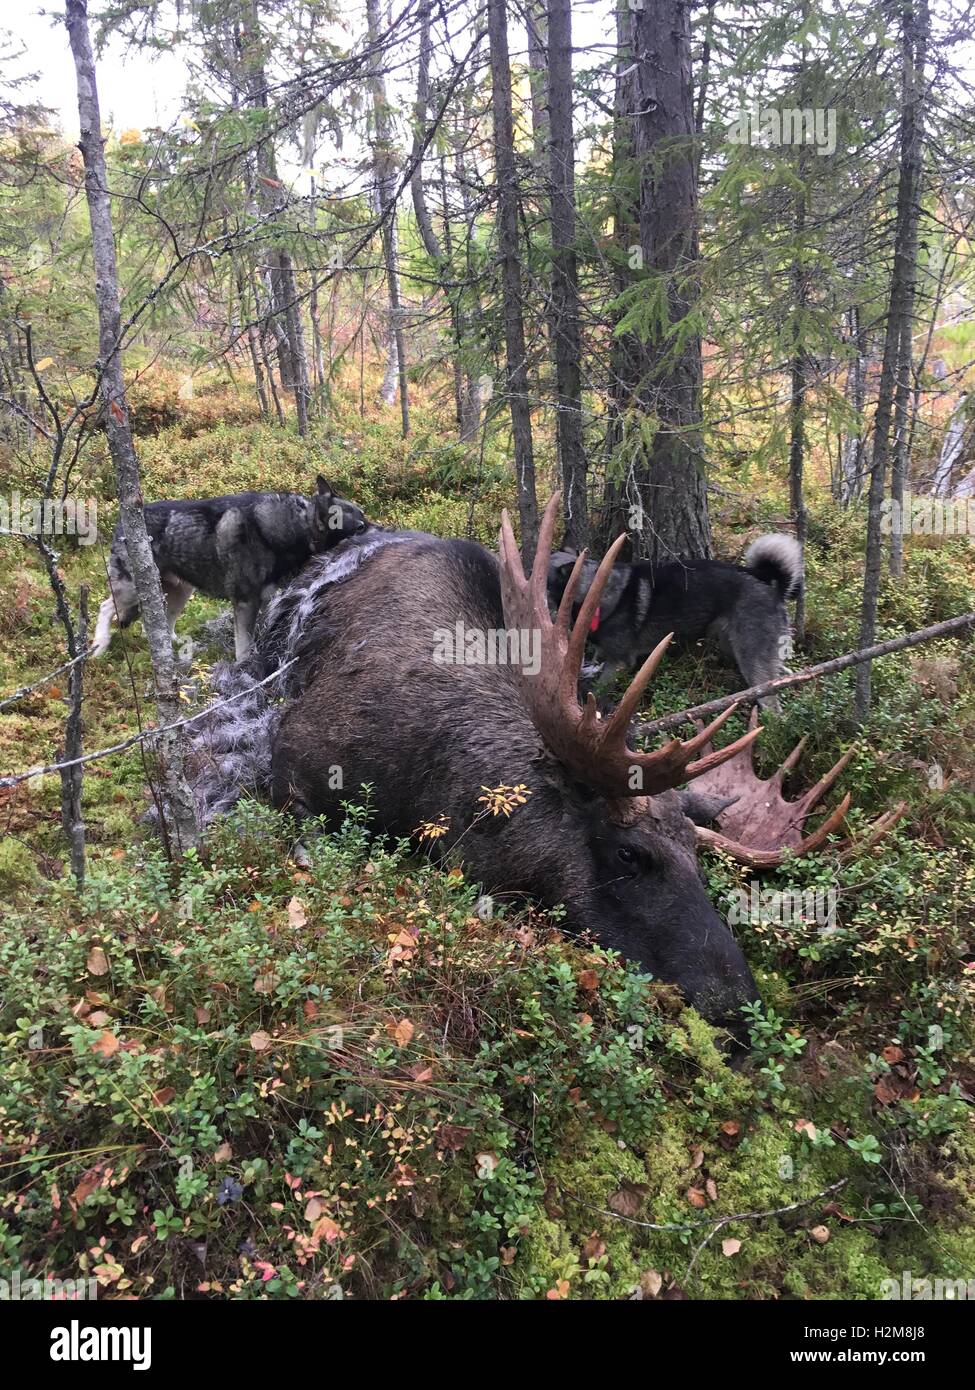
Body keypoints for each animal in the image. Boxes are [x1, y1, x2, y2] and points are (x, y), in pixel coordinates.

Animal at [93, 478, 372, 661]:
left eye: (364, 515)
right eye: (359, 526)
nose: (382, 530)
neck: (297, 527)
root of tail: (121, 523)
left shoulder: (260, 602)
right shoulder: (245, 603)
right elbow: (244, 648)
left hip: (180, 591)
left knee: (162, 622)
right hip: (132, 590)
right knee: (105, 607)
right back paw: (99, 645)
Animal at [545, 528, 801, 711]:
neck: (592, 592)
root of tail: (772, 587)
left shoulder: (619, 662)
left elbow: (598, 689)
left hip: (751, 659)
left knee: (772, 705)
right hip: (735, 648)